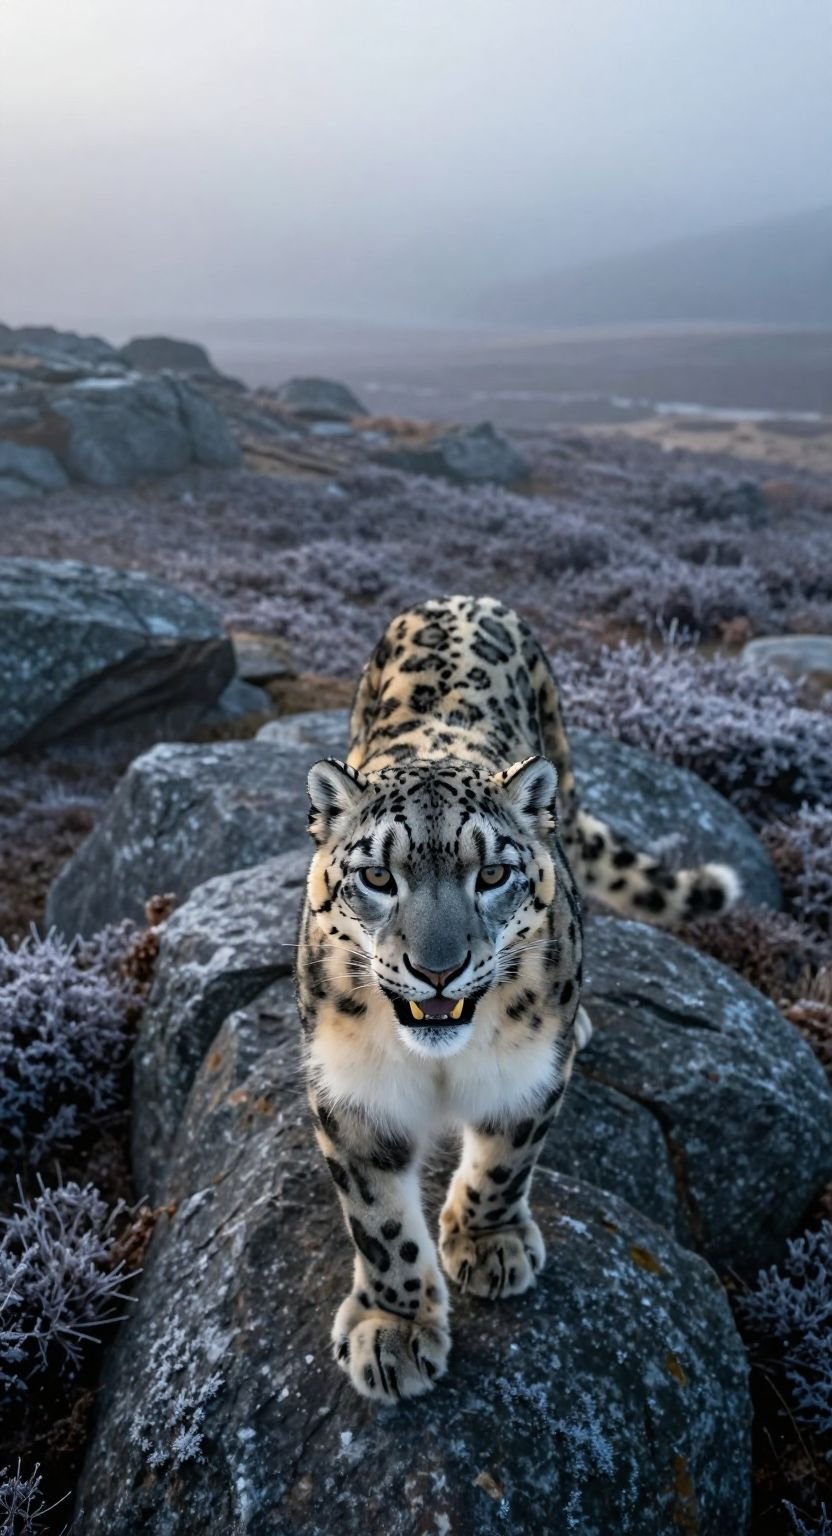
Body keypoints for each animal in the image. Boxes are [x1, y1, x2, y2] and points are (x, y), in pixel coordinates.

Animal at [296, 595, 740, 1402]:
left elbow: (506, 1157)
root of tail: (462, 596)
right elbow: (378, 1220)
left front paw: (488, 1245)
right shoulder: (352, 1088)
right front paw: (393, 1329)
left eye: (492, 873)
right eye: (377, 878)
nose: (437, 969)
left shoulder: (529, 1069)